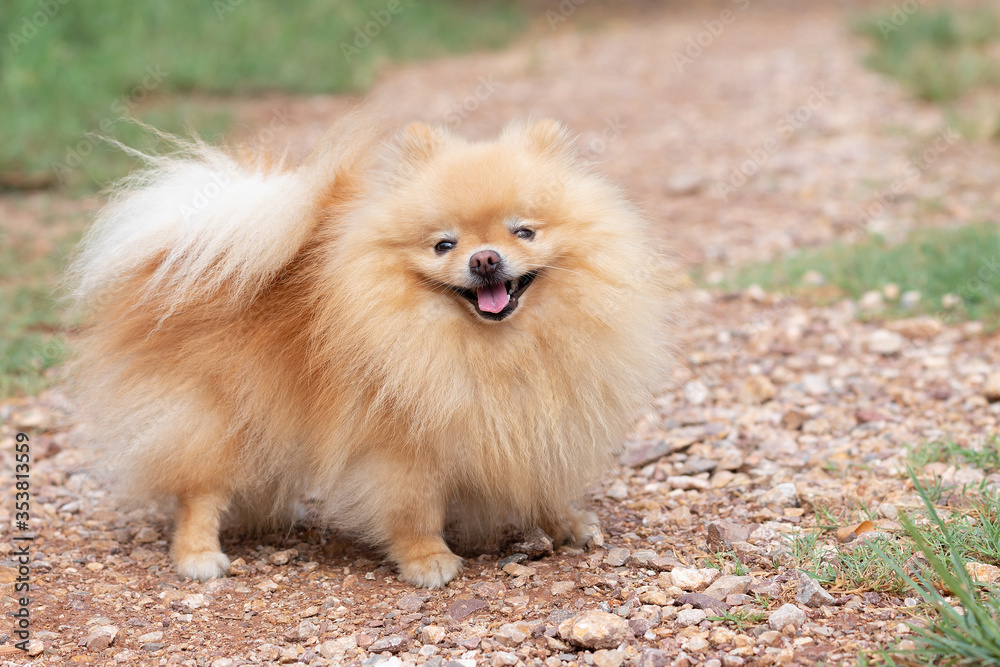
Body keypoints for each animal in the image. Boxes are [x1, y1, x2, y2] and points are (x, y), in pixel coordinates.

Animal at [70, 117, 680, 588]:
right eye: (444, 244)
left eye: (523, 232)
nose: (484, 259)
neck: (496, 349)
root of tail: (176, 252)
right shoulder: (399, 448)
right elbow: (415, 510)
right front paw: (428, 561)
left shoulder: (538, 420)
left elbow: (543, 480)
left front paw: (568, 524)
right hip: (214, 419)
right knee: (197, 492)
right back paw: (199, 555)